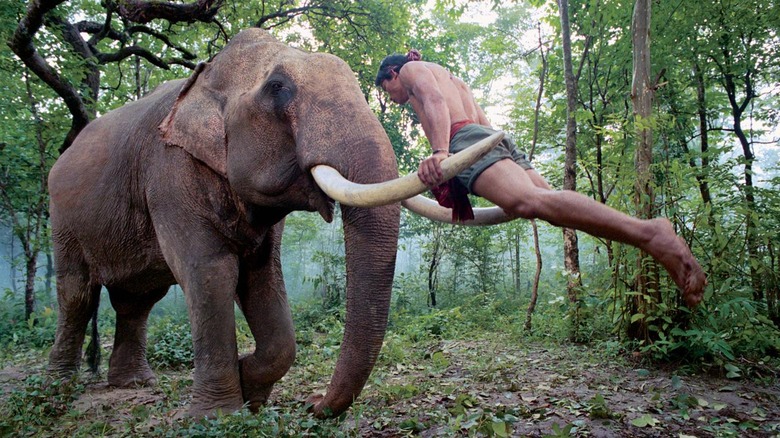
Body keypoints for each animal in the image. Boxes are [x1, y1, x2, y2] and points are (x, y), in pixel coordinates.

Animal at [48, 27, 502, 418]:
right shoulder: (168, 171)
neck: (207, 75)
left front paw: (251, 389)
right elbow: (210, 271)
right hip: (62, 217)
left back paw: (133, 384)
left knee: (138, 300)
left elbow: (263, 276)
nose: (313, 403)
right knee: (78, 293)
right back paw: (59, 389)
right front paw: (218, 414)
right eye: (278, 89)